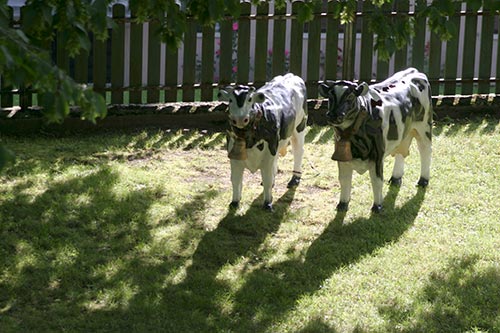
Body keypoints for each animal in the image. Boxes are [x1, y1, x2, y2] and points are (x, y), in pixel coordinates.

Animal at [220, 74, 308, 211]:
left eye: (250, 99)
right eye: (230, 100)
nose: (239, 119)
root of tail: (291, 75)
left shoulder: (269, 153)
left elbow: (266, 179)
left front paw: (267, 204)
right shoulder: (233, 155)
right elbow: (235, 179)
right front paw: (234, 202)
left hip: (300, 126)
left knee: (298, 151)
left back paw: (295, 179)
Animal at [320, 68, 434, 213]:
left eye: (350, 97)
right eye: (330, 97)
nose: (333, 115)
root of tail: (414, 71)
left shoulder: (377, 156)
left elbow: (376, 181)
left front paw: (377, 207)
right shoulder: (343, 158)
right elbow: (344, 180)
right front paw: (342, 205)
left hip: (424, 127)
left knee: (425, 151)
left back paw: (423, 180)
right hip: (403, 130)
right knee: (401, 150)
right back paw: (396, 178)